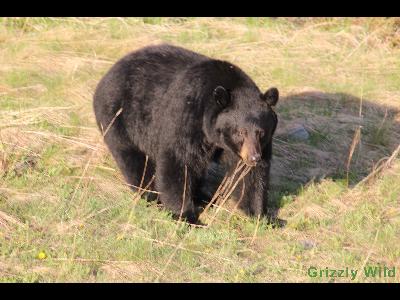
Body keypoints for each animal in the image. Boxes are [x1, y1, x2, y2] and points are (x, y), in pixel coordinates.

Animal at [94, 43, 278, 224]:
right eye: (240, 132)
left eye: (261, 132)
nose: (254, 158)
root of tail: (110, 72)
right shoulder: (187, 116)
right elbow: (178, 161)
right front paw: (186, 215)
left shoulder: (248, 146)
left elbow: (250, 176)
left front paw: (262, 216)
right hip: (121, 119)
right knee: (134, 160)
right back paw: (152, 195)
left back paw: (203, 196)